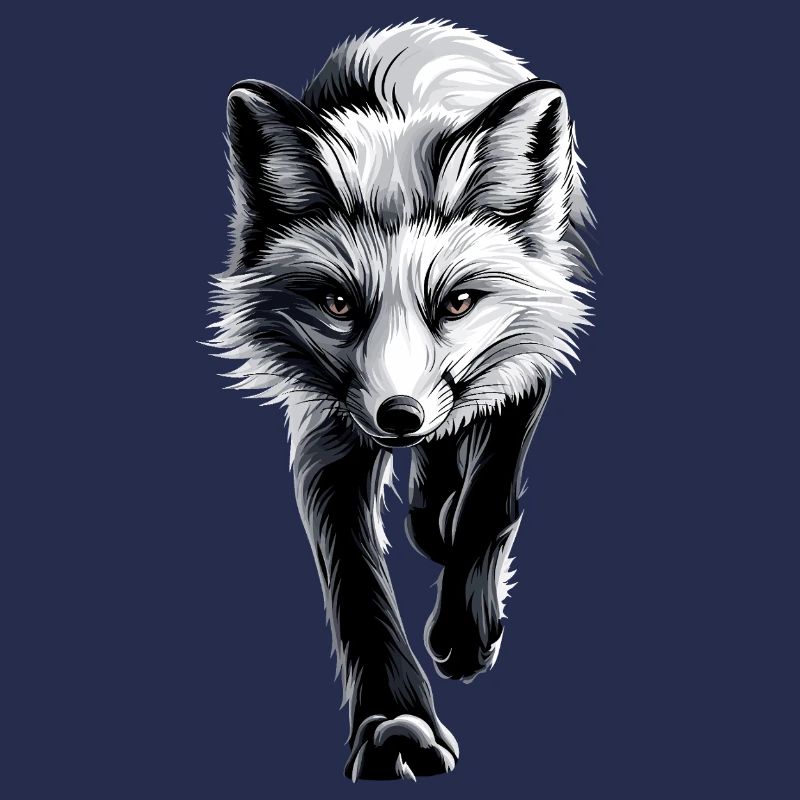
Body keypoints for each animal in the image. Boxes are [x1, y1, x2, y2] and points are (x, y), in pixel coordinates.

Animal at [208, 20, 596, 781]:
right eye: (337, 304)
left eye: (458, 302)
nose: (399, 416)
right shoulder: (329, 429)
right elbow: (356, 581)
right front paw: (396, 726)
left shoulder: (529, 355)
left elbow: (489, 507)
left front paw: (467, 629)